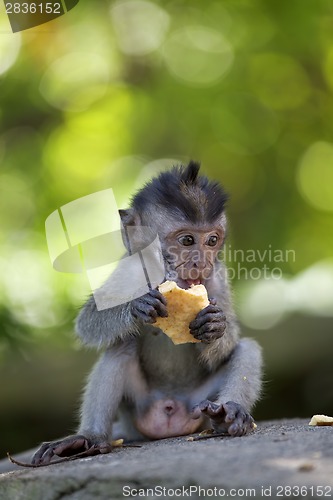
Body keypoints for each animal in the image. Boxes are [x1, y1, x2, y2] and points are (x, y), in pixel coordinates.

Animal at [33, 163, 262, 464]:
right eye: (187, 240)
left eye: (212, 240)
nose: (202, 263)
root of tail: (169, 414)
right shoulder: (128, 267)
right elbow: (87, 322)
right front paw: (136, 308)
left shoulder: (219, 276)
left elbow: (228, 344)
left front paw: (214, 325)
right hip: (136, 410)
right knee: (120, 348)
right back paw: (88, 437)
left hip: (197, 405)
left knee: (247, 348)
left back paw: (228, 414)